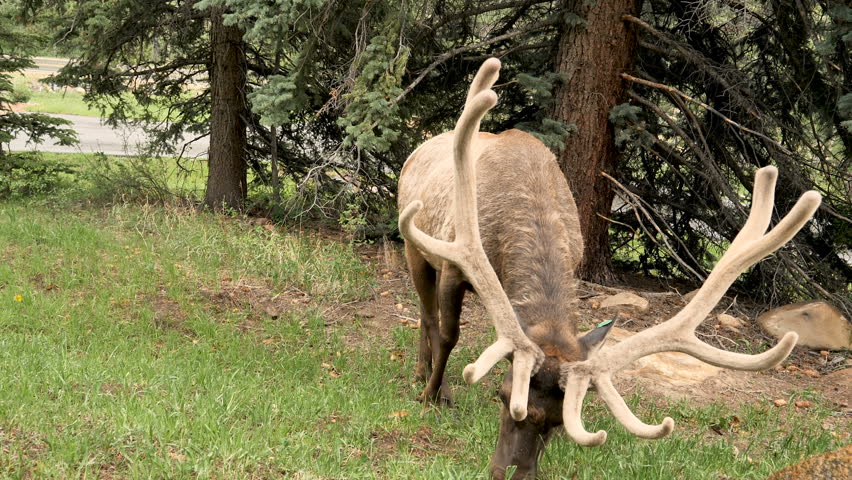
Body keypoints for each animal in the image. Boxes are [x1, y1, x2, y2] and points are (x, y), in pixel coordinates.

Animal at [396, 58, 821, 479]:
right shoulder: (454, 263)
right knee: (427, 313)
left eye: (557, 422)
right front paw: (432, 395)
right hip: (415, 246)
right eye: (503, 396)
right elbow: (448, 334)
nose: (512, 472)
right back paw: (422, 374)